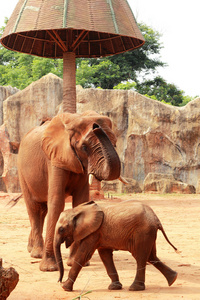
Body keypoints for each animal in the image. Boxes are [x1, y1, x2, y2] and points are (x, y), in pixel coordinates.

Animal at [17, 110, 120, 272]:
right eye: (84, 147)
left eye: (115, 143)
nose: (96, 126)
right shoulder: (54, 158)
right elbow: (57, 202)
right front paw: (49, 268)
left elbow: (81, 202)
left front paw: (77, 263)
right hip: (22, 172)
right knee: (34, 208)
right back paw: (37, 254)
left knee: (42, 210)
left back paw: (31, 249)